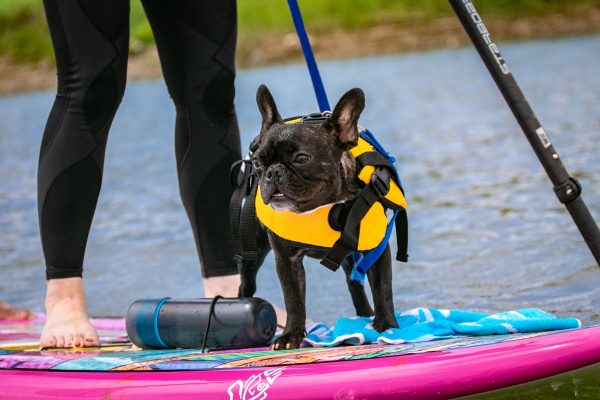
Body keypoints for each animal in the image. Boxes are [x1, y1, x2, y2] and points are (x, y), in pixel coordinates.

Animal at [239, 85, 398, 350]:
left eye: (301, 158)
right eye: (258, 162)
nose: (272, 172)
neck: (319, 208)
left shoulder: (376, 250)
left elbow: (382, 288)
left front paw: (387, 324)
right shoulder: (286, 260)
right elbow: (293, 299)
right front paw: (290, 336)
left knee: (354, 284)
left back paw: (365, 316)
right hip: (253, 254)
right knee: (245, 285)